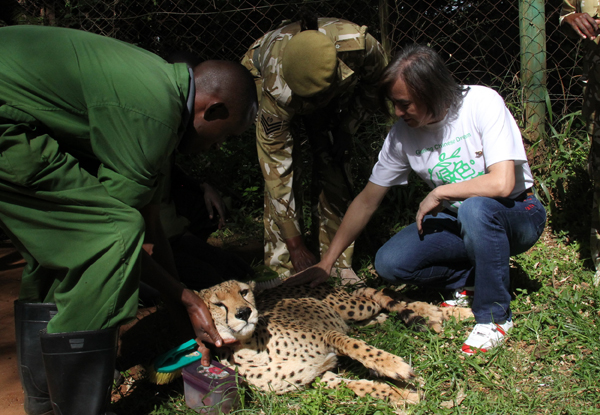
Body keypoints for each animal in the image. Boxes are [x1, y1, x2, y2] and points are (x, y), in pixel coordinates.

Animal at [195, 282, 472, 404]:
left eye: (243, 292)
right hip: (361, 318)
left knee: (380, 294)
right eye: (218, 304)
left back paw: (445, 313)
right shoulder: (317, 377)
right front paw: (401, 394)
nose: (245, 312)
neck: (253, 349)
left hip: (352, 307)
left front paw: (395, 367)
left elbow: (360, 348)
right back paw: (437, 316)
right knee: (381, 310)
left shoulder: (328, 335)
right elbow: (360, 386)